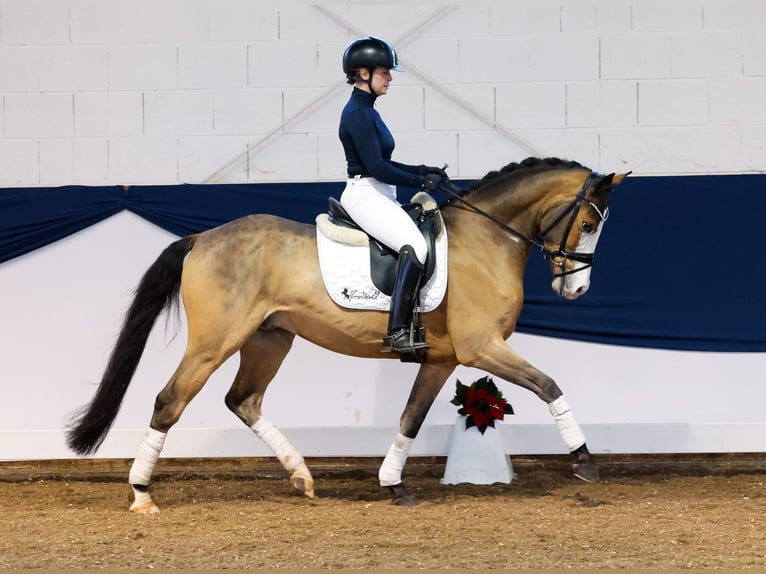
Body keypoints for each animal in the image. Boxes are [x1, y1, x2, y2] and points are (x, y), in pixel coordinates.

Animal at [66, 156, 632, 512]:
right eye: (588, 224)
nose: (577, 289)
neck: (487, 238)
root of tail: (202, 237)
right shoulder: (482, 349)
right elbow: (549, 385)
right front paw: (585, 462)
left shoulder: (443, 359)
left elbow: (410, 419)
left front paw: (393, 485)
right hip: (214, 342)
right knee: (171, 400)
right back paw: (142, 494)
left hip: (269, 339)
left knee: (243, 400)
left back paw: (301, 474)